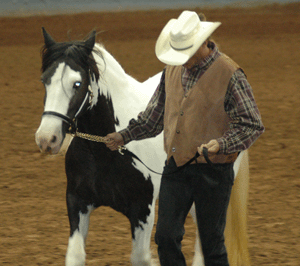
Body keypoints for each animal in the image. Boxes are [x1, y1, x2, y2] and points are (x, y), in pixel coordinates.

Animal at [34, 28, 251, 264]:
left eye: (77, 83)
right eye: (45, 80)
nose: (46, 139)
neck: (105, 153)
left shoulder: (142, 209)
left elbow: (140, 258)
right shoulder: (77, 202)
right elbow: (75, 255)